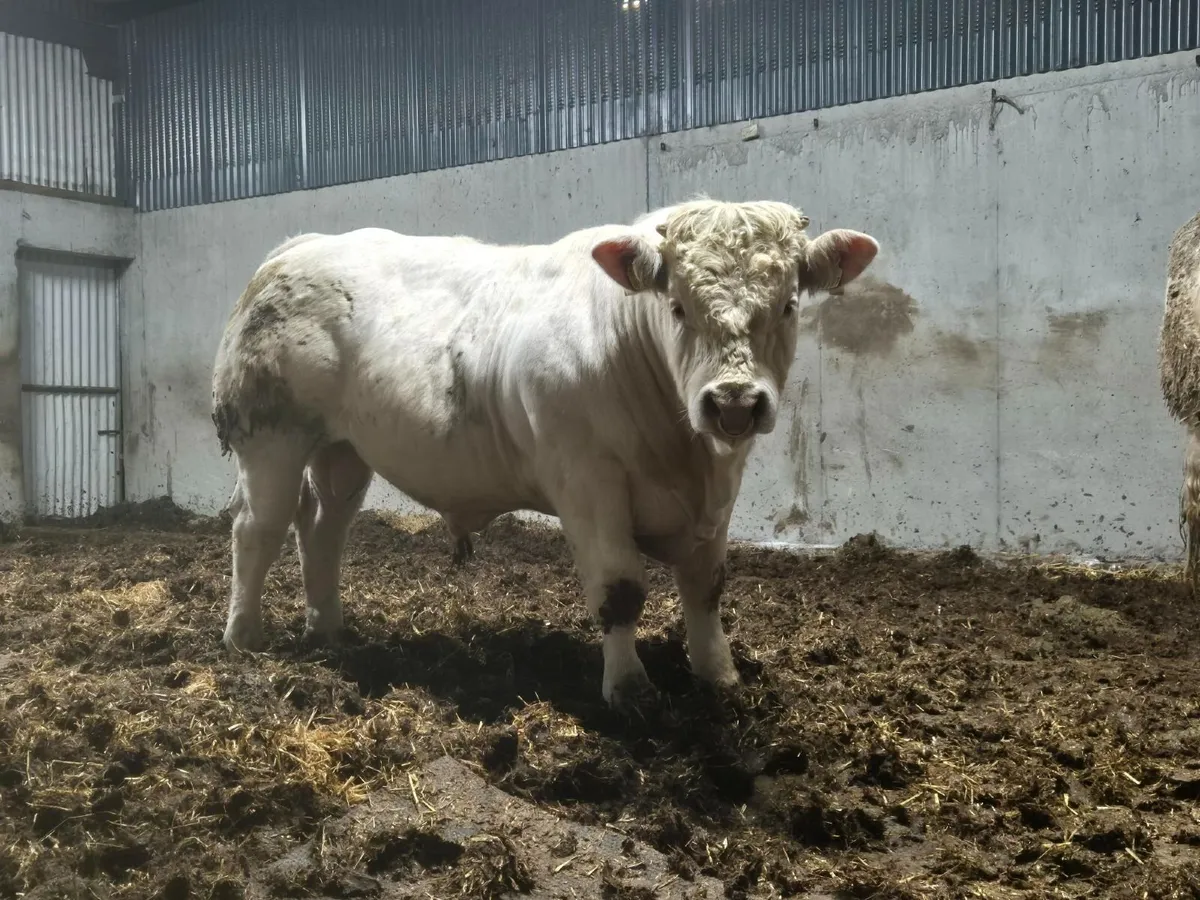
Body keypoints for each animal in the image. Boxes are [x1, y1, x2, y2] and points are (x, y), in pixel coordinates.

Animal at [211, 199, 879, 708]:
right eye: (677, 307)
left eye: (788, 306)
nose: (733, 401)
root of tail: (301, 247)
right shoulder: (586, 481)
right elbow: (620, 589)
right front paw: (629, 690)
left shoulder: (721, 488)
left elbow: (706, 585)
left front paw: (719, 675)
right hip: (271, 437)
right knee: (259, 528)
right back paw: (244, 635)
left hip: (343, 448)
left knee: (324, 527)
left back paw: (328, 630)